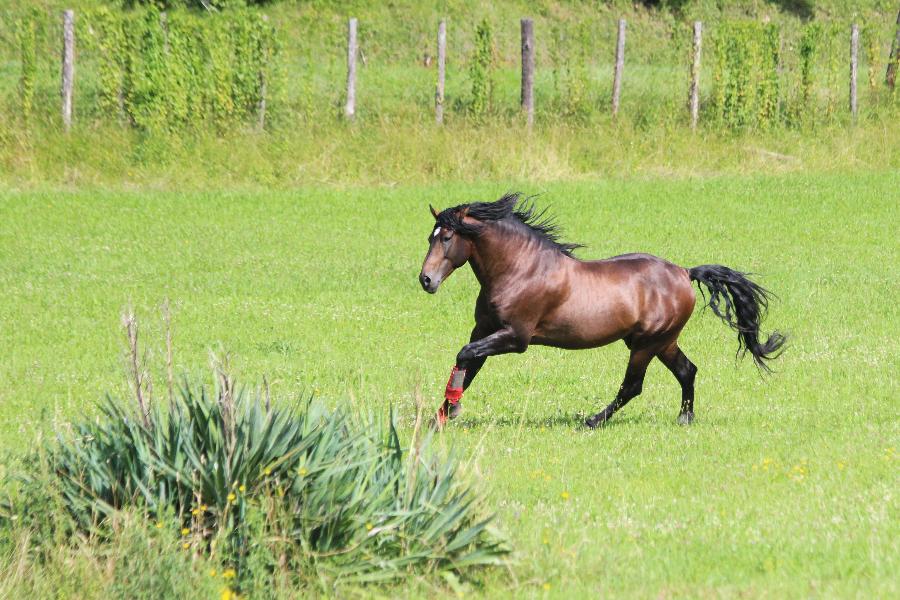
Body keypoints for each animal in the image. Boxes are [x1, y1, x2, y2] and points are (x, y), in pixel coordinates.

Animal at [418, 192, 784, 426]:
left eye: (447, 237)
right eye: (430, 237)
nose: (426, 280)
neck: (520, 270)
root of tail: (684, 272)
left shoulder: (515, 337)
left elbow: (465, 355)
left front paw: (450, 411)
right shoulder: (484, 330)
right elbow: (468, 365)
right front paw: (441, 415)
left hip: (647, 343)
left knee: (633, 386)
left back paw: (593, 420)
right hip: (662, 342)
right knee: (687, 371)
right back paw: (684, 417)